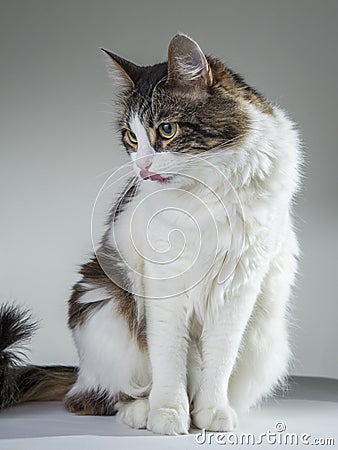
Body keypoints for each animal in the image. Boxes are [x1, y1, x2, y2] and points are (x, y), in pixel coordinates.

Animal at [0, 33, 302, 434]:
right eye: (131, 137)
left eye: (166, 130)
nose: (142, 167)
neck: (209, 190)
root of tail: (81, 373)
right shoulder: (163, 284)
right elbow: (170, 358)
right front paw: (169, 414)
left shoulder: (239, 284)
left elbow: (219, 357)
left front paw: (211, 413)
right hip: (102, 311)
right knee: (98, 397)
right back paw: (139, 410)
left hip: (266, 342)